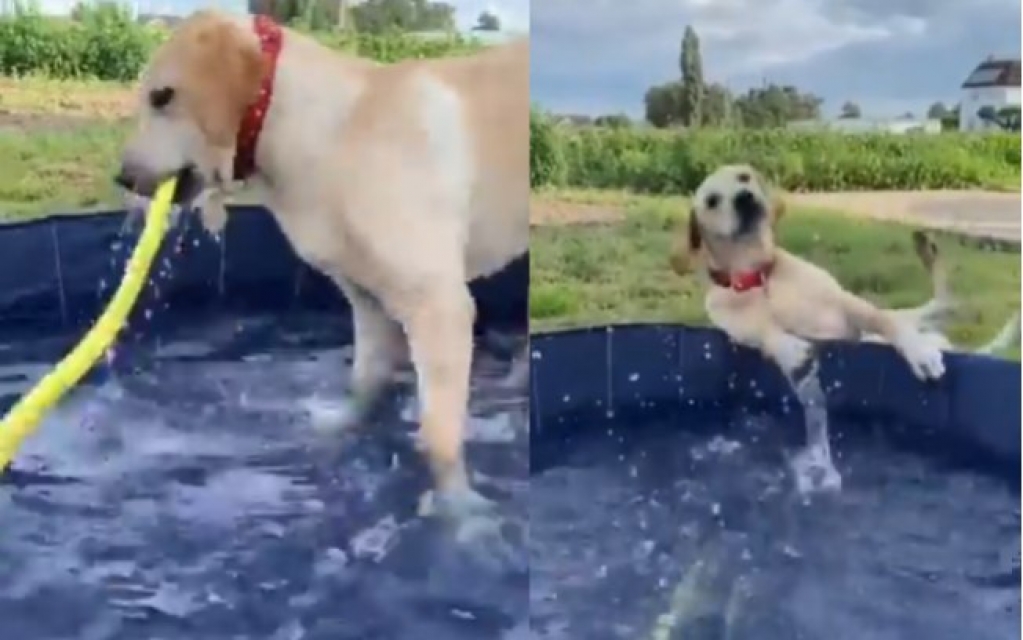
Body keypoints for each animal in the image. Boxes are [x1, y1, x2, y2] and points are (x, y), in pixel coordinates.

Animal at [114, 11, 527, 523]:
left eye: (162, 96)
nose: (122, 177)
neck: (330, 135)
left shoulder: (438, 306)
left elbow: (439, 438)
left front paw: (460, 511)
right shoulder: (367, 299)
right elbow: (365, 381)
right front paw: (342, 426)